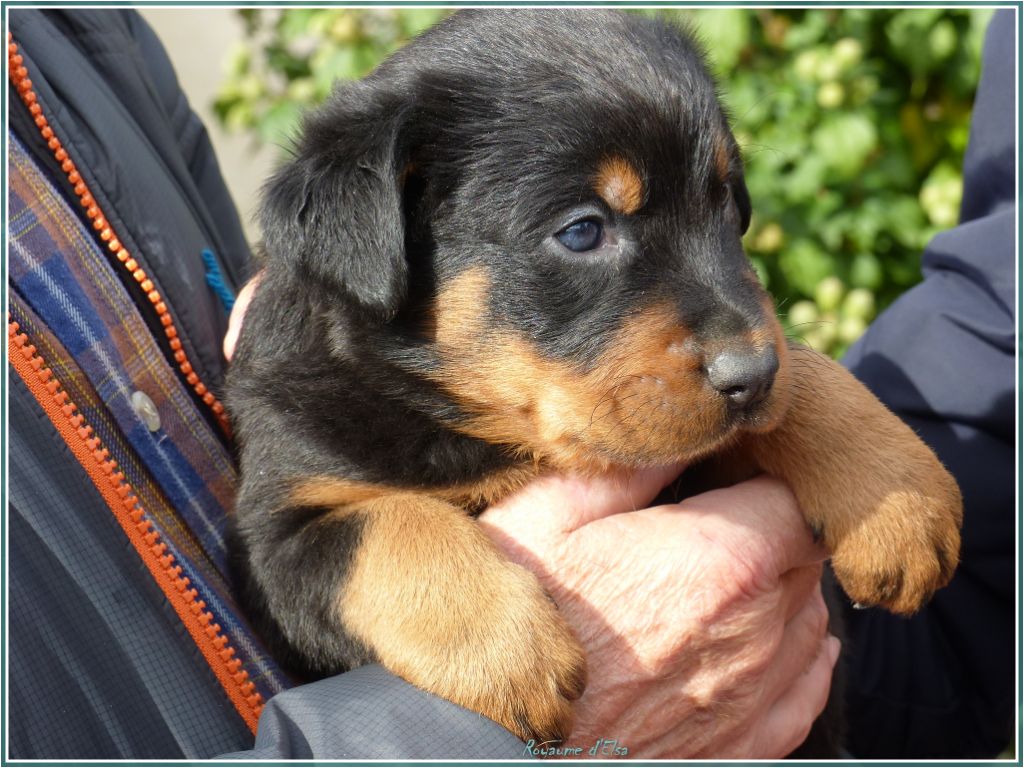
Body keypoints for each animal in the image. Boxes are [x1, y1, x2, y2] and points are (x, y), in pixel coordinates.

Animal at [227, 9, 962, 753]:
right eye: (582, 231)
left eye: (728, 205)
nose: (750, 377)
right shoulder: (279, 529)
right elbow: (389, 528)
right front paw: (505, 651)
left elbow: (806, 370)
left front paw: (900, 501)